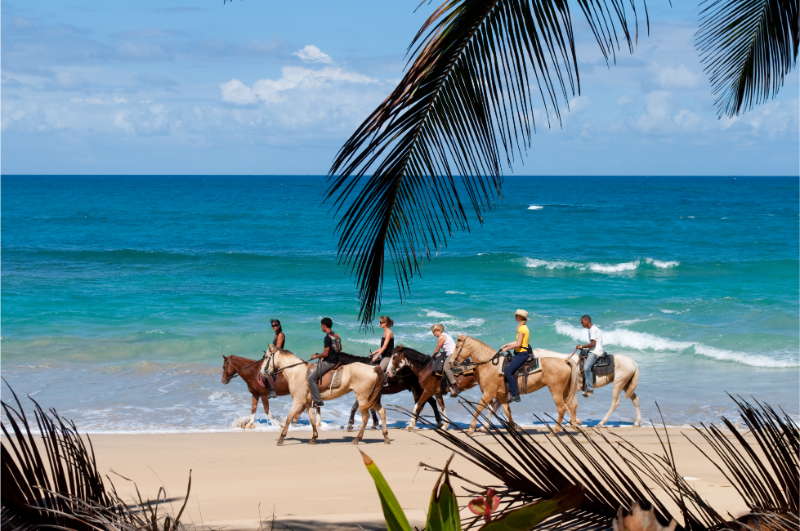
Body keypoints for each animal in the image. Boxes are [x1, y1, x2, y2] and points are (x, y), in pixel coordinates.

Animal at [260, 348, 390, 446]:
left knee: (366, 416)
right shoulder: (308, 403)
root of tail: (373, 368)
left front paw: (281, 438)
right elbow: (312, 419)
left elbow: (288, 418)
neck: (296, 372)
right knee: (382, 411)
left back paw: (357, 439)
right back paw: (386, 437)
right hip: (371, 398)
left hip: (363, 397)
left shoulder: (298, 401)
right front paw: (313, 438)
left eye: (266, 357)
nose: (262, 373)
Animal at [450, 336, 580, 436]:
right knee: (572, 405)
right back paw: (574, 425)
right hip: (565, 391)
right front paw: (514, 428)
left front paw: (471, 429)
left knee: (562, 408)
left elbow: (478, 409)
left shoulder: (488, 394)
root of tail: (565, 361)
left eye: (457, 347)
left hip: (556, 390)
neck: (490, 365)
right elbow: (507, 412)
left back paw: (555, 430)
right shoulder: (501, 396)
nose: (451, 362)